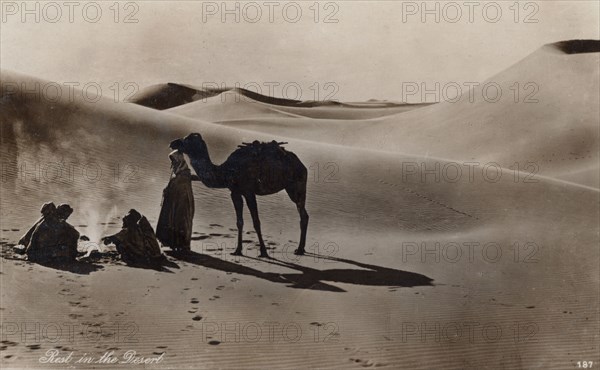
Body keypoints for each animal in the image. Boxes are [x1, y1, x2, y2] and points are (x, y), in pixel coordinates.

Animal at [170, 133, 308, 258]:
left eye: (188, 139)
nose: (173, 143)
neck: (227, 171)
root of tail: (302, 164)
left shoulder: (249, 192)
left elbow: (256, 222)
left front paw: (263, 252)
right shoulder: (235, 193)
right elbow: (239, 222)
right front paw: (237, 250)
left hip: (297, 186)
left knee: (303, 214)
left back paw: (300, 249)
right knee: (304, 214)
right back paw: (301, 249)